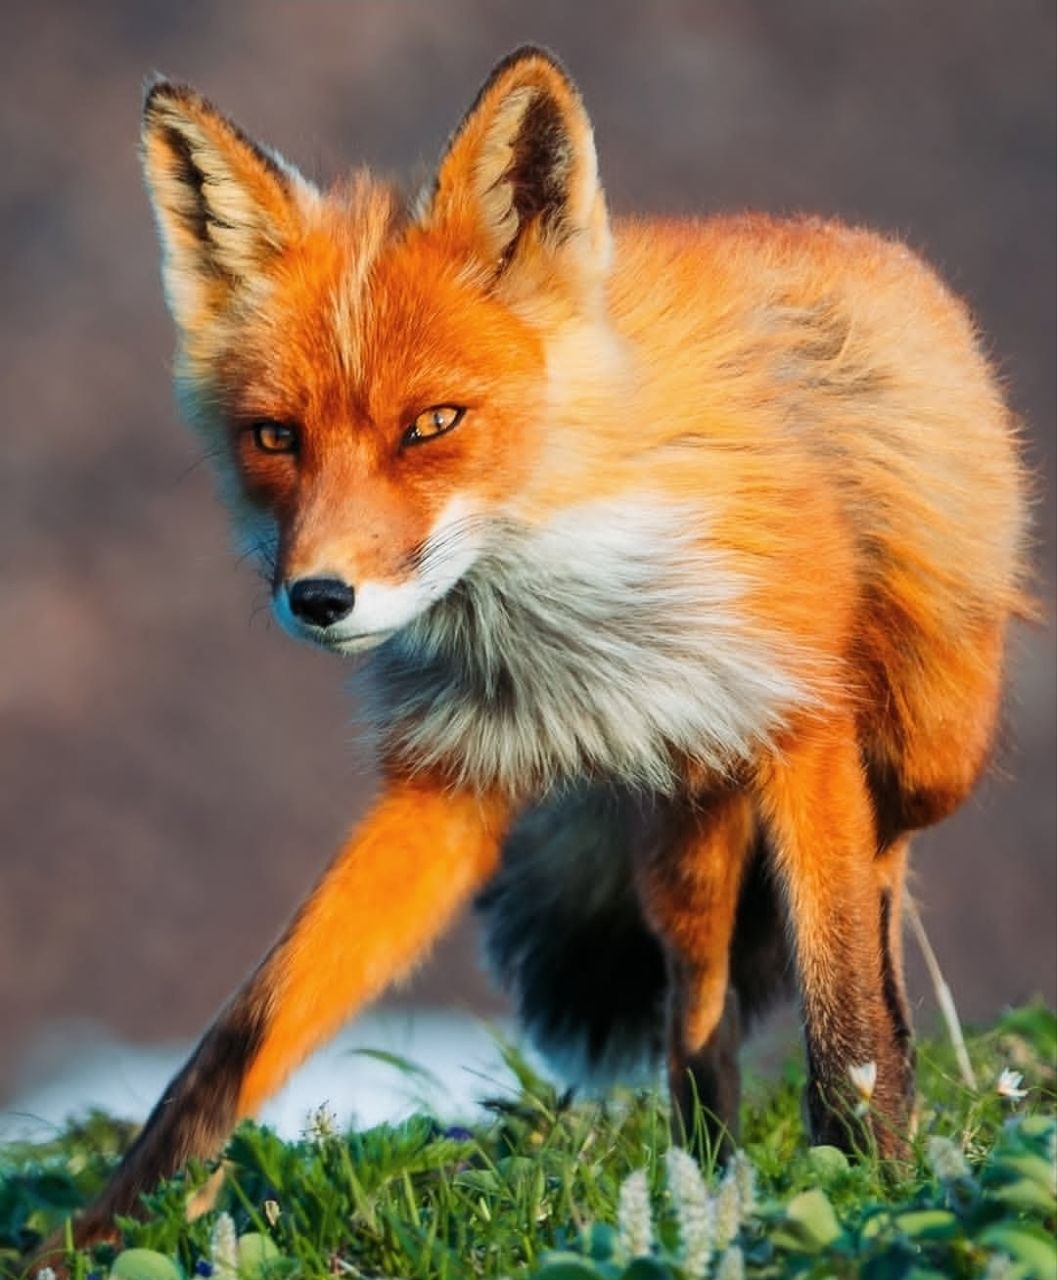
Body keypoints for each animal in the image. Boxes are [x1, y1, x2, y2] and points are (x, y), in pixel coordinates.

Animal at [42, 44, 1030, 1259]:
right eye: (274, 438)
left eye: (432, 424)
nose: (318, 598)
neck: (561, 615)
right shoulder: (450, 783)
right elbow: (237, 1044)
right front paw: (88, 1243)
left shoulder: (802, 724)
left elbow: (845, 1022)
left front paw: (876, 1189)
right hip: (683, 832)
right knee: (695, 1002)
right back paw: (702, 1163)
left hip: (923, 740)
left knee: (880, 872)